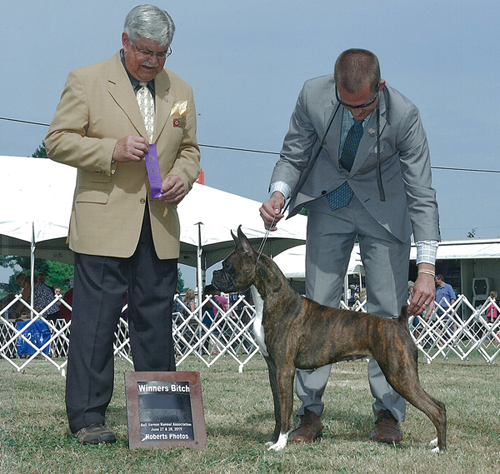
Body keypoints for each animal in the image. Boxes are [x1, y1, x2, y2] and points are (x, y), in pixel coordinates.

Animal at [213, 226, 448, 452]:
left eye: (227, 265)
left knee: (435, 409)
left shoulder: (285, 370)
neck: (273, 300)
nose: (214, 273)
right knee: (440, 405)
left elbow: (286, 409)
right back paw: (436, 442)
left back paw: (441, 448)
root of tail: (398, 322)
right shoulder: (274, 370)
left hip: (400, 375)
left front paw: (280, 444)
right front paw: (273, 439)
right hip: (402, 375)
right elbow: (278, 410)